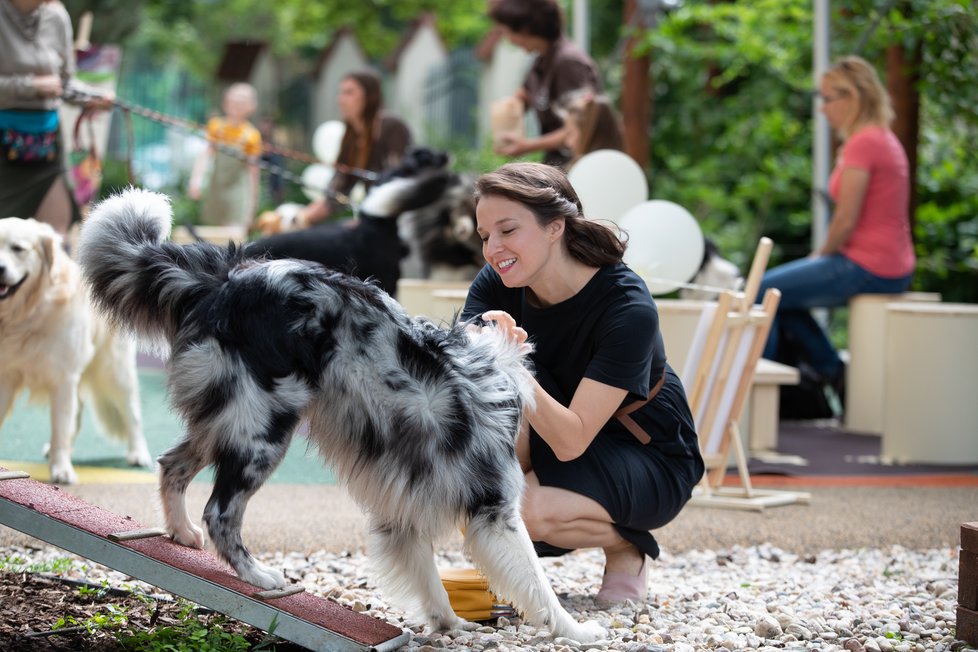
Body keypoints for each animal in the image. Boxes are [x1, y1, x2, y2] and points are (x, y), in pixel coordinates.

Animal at [78, 188, 604, 640]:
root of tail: (224, 278)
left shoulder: (404, 504)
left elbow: (429, 578)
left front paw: (449, 624)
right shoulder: (495, 510)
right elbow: (537, 583)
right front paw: (577, 631)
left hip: (225, 418)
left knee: (172, 464)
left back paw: (181, 533)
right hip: (263, 430)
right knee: (221, 512)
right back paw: (260, 575)